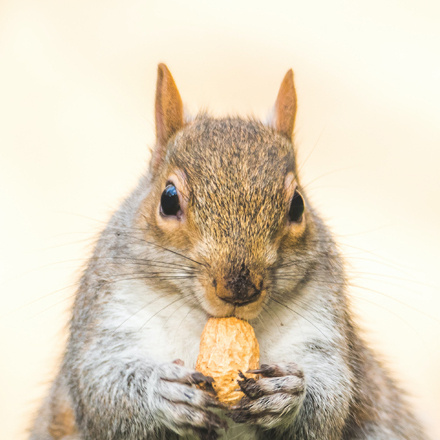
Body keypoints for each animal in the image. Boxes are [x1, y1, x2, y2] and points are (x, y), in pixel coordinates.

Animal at [28, 63, 426, 438]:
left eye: (297, 205)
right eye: (168, 199)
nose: (238, 289)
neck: (206, 321)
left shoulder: (321, 325)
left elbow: (330, 402)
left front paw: (288, 394)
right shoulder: (109, 314)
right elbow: (101, 392)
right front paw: (162, 391)